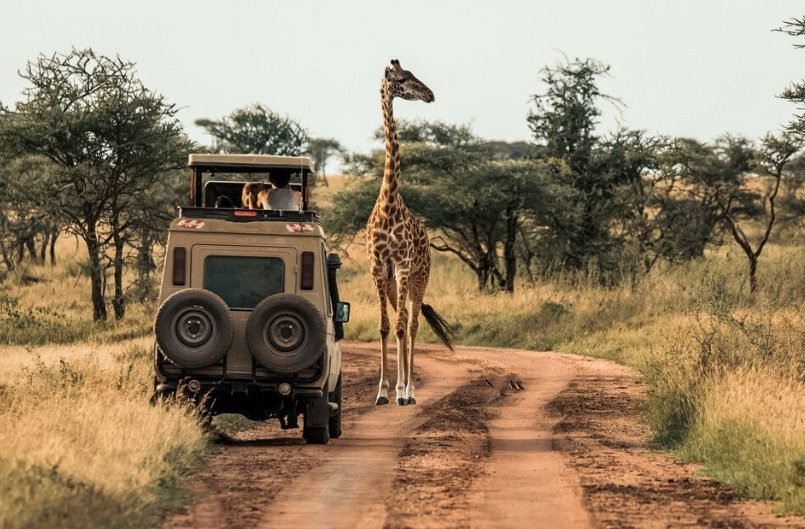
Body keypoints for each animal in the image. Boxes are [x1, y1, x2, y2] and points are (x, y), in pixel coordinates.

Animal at [366, 59, 454, 407]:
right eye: (402, 79)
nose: (430, 94)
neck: (389, 203)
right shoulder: (379, 269)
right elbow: (384, 326)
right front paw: (381, 392)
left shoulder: (403, 267)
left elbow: (403, 326)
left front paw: (402, 391)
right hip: (394, 283)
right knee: (401, 319)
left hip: (420, 277)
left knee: (413, 324)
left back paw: (411, 390)